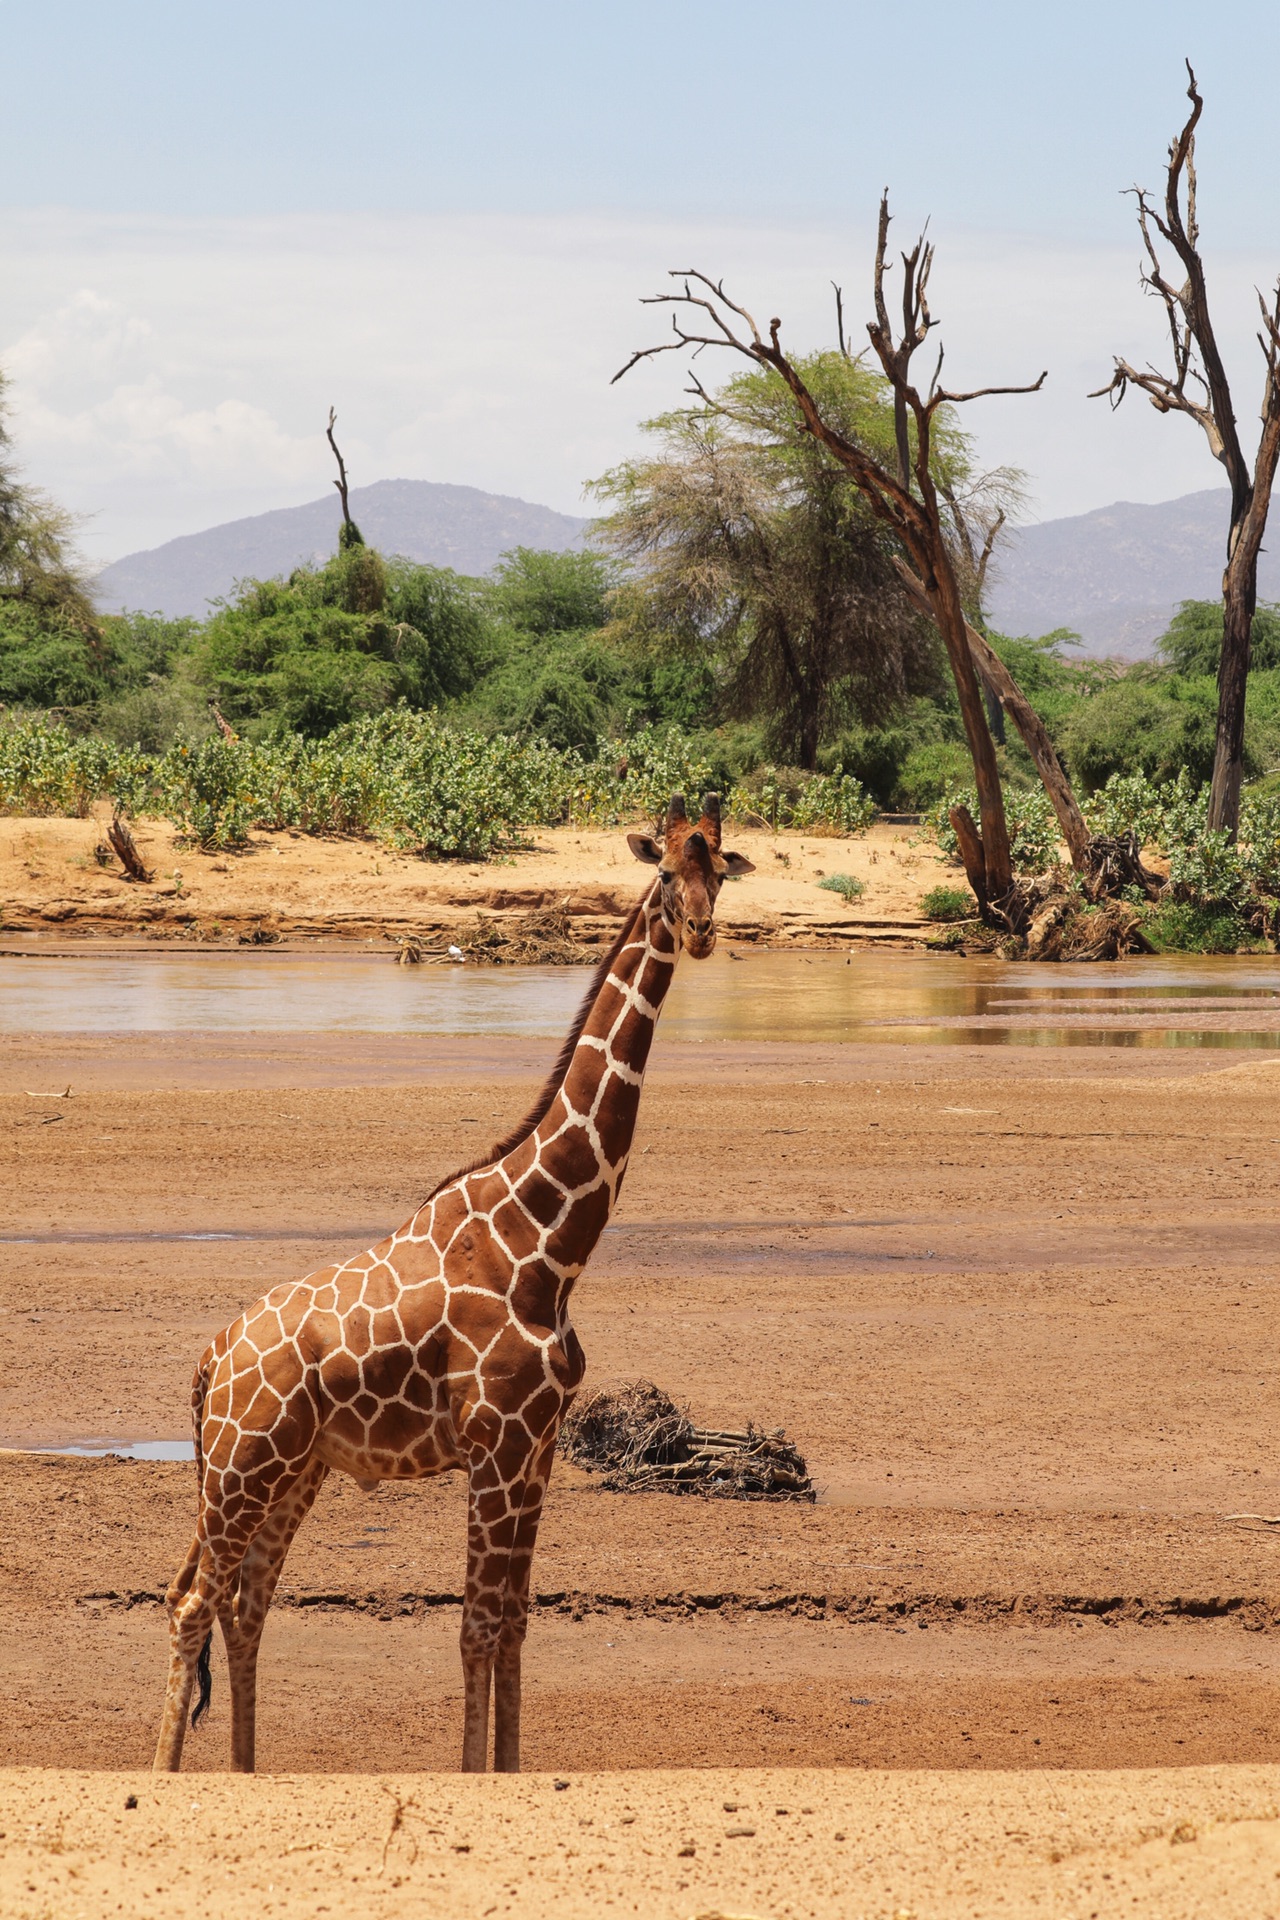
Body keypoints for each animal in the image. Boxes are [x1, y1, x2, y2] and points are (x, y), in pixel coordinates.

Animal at [152, 791, 752, 1766]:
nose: (699, 931)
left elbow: (514, 1624)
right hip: (242, 1466)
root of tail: (211, 1362)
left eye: (720, 872)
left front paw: (507, 1769)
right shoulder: (497, 1444)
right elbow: (475, 1626)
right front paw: (476, 1772)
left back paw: (247, 1771)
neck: (549, 1243)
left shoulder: (538, 1448)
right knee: (192, 1602)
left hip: (295, 1471)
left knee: (246, 1604)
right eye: (665, 872)